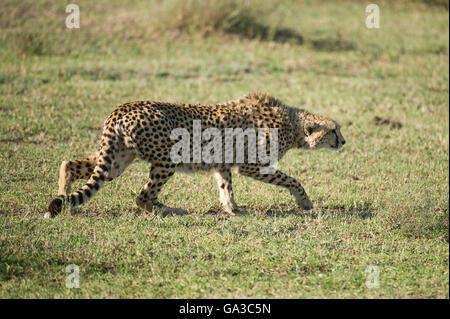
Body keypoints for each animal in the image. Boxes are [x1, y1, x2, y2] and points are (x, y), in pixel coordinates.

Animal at [45, 92, 346, 218]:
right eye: (334, 130)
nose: (343, 141)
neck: (292, 125)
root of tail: (123, 107)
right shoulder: (254, 166)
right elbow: (292, 180)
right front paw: (305, 202)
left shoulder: (223, 163)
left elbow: (226, 187)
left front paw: (232, 209)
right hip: (166, 159)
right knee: (143, 197)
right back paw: (171, 210)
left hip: (118, 159)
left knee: (69, 165)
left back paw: (65, 201)